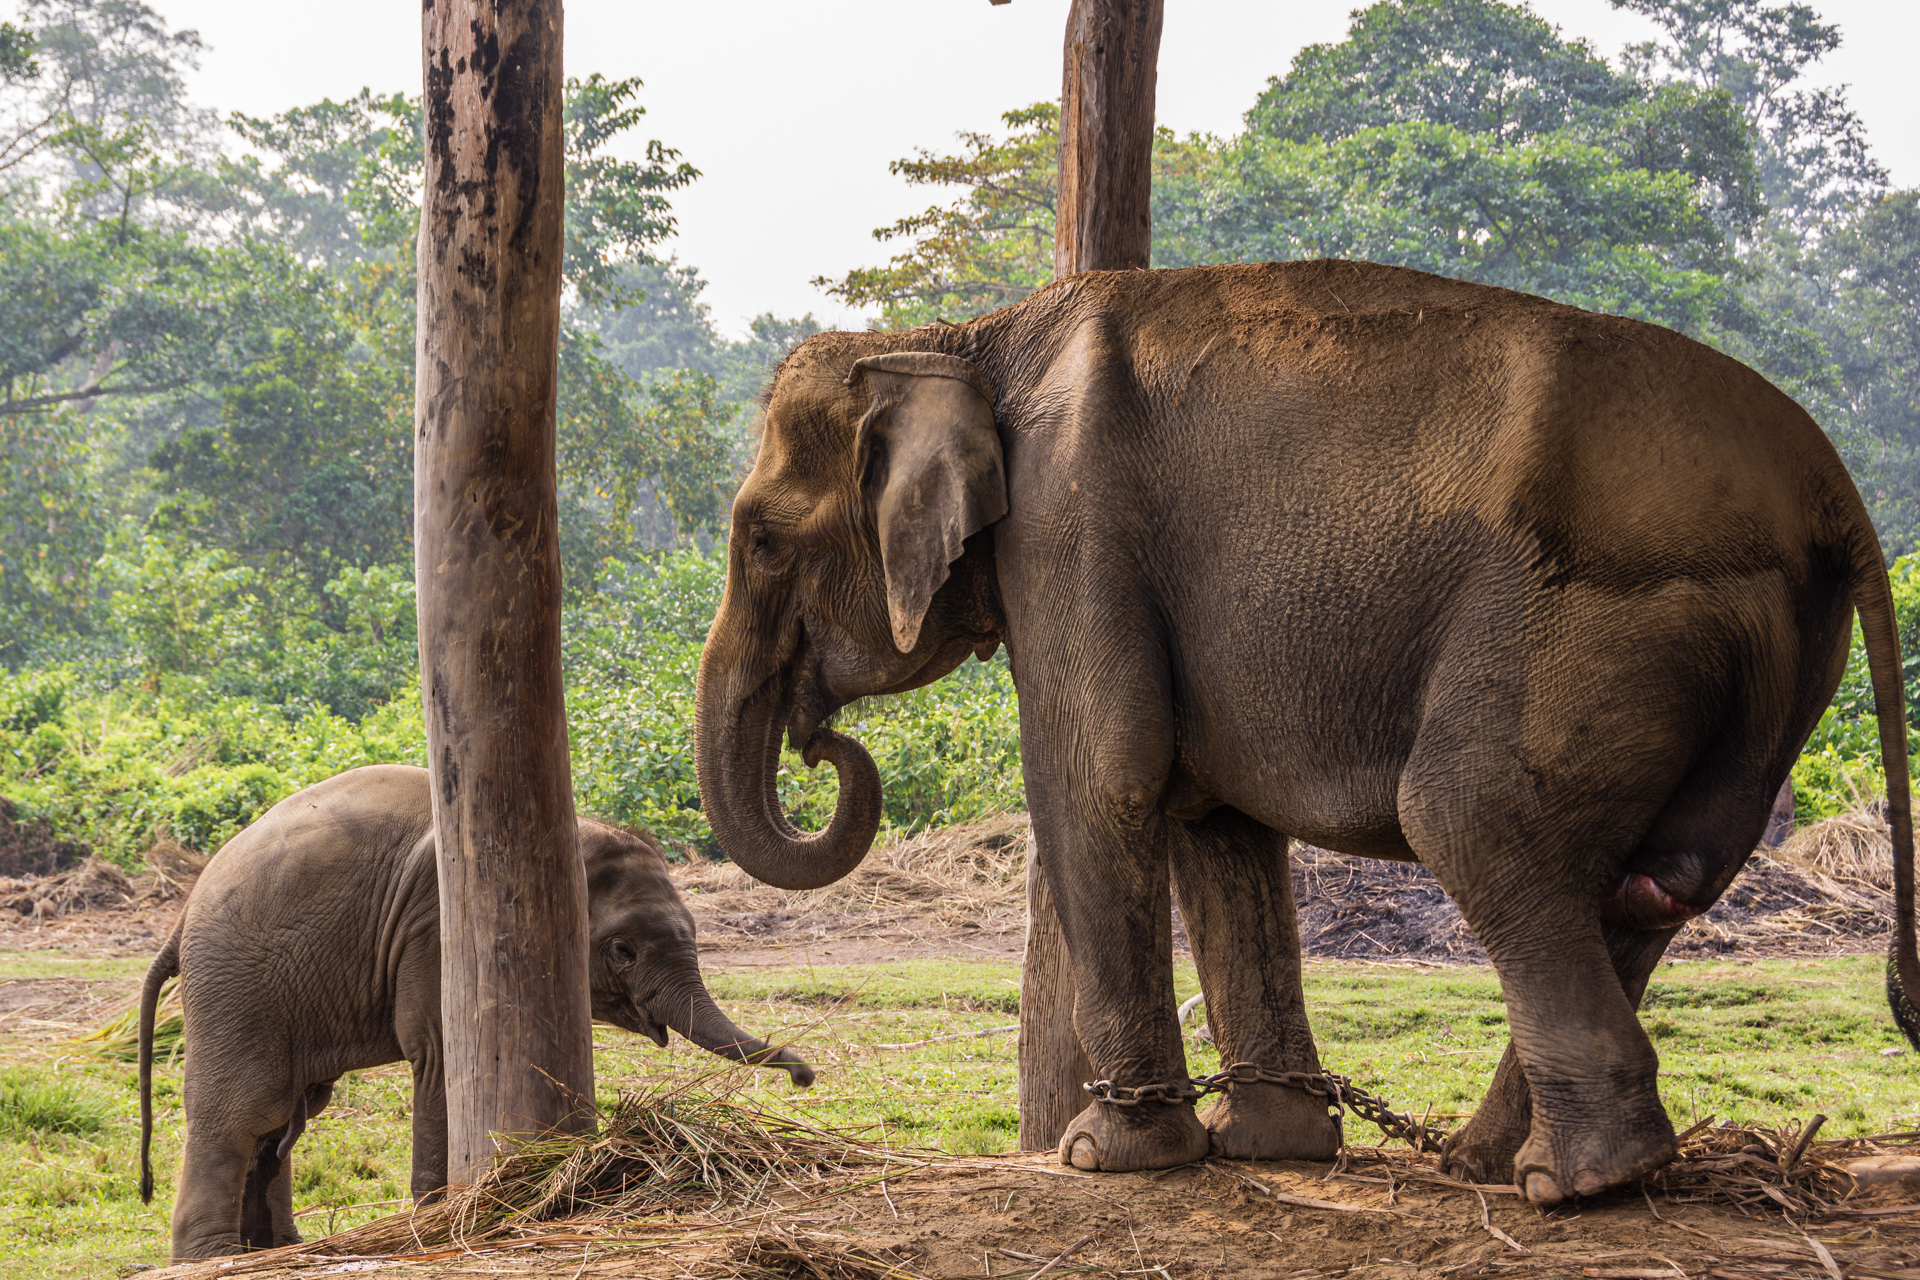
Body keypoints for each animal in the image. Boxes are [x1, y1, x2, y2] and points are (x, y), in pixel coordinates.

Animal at [137, 764, 813, 1261]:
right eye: (624, 950)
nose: (805, 1077)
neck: (567, 832)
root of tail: (183, 911)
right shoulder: (437, 934)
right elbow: (438, 1052)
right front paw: (437, 1218)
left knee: (288, 1114)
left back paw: (273, 1249)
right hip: (237, 985)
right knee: (245, 1110)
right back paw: (213, 1258)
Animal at [691, 259, 1917, 1204]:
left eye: (760, 538)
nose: (822, 748)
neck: (962, 336)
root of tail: (1830, 486)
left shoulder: (1070, 524)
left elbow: (1101, 781)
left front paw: (1107, 1158)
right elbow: (1214, 819)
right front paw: (1272, 1148)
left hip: (1596, 619)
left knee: (1468, 813)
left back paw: (1572, 1182)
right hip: (1761, 663)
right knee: (1660, 877)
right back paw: (1479, 1162)